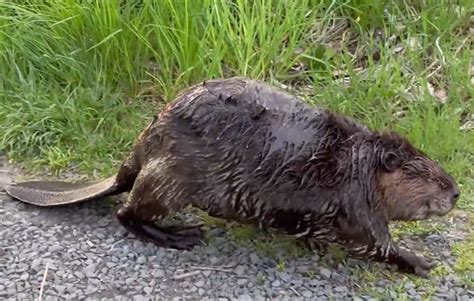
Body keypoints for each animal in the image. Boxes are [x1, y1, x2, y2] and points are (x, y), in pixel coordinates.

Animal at [5, 77, 460, 276]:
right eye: (428, 174)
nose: (456, 192)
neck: (357, 163)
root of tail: (128, 164)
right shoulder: (354, 203)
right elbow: (373, 243)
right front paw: (421, 261)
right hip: (171, 179)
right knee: (128, 214)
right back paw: (182, 235)